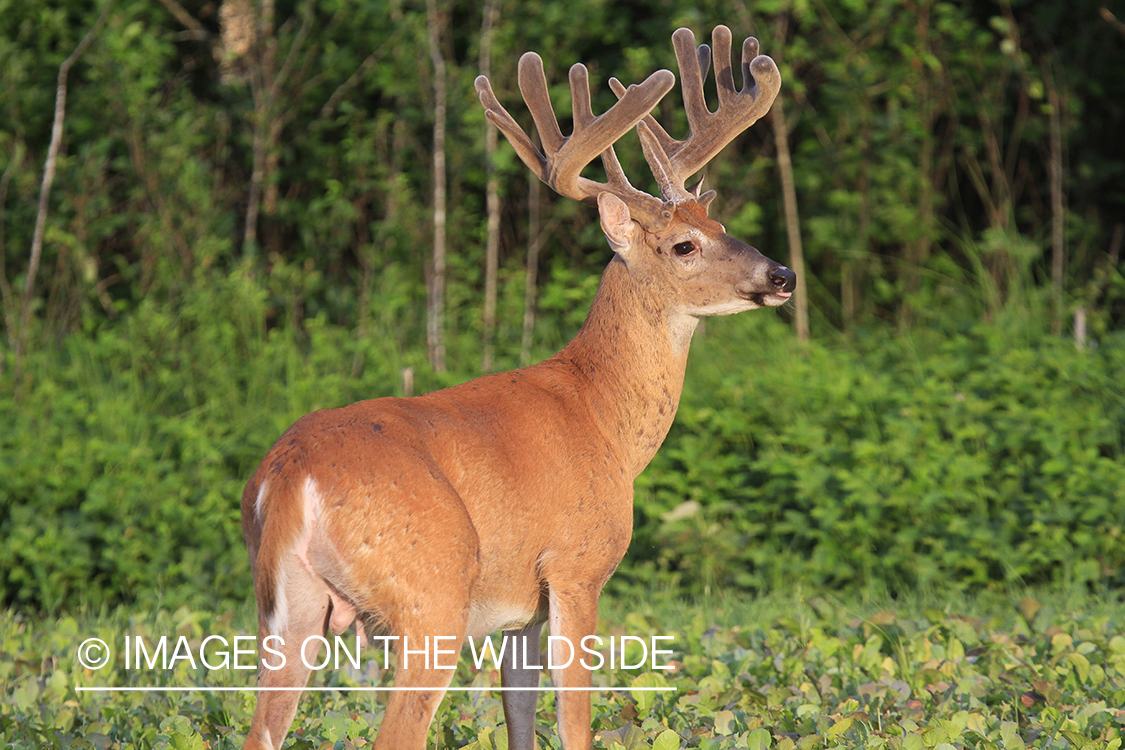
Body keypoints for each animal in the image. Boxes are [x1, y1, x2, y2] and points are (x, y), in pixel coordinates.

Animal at [239, 24, 794, 750]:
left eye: (721, 226)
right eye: (683, 246)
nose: (782, 275)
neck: (605, 419)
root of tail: (289, 477)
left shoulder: (520, 610)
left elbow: (520, 712)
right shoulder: (576, 563)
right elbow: (575, 715)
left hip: (287, 612)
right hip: (432, 594)